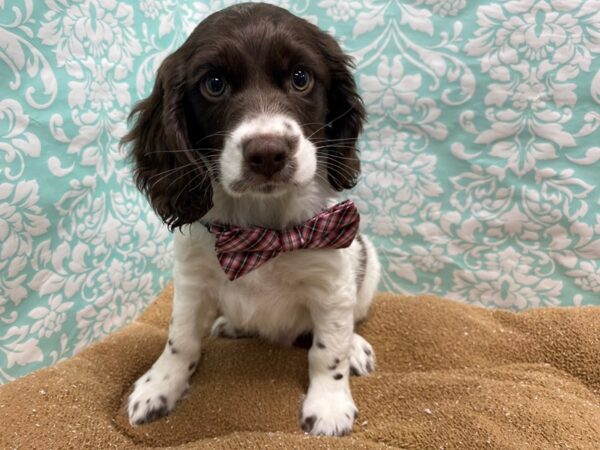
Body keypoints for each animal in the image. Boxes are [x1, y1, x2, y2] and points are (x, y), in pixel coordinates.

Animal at [123, 0, 380, 436]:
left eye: (300, 78)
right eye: (214, 84)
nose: (268, 153)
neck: (261, 228)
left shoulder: (331, 283)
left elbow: (328, 349)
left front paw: (329, 405)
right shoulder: (192, 280)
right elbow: (180, 340)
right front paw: (158, 388)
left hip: (367, 263)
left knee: (350, 323)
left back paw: (357, 349)